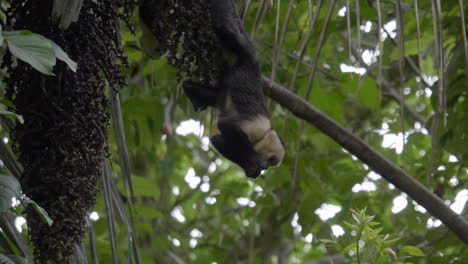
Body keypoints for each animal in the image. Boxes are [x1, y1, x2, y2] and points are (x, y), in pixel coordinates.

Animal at [183, 0, 286, 179]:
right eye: (271, 160)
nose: (266, 168)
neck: (266, 132)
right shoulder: (257, 126)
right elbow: (226, 126)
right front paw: (252, 161)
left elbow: (217, 140)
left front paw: (250, 168)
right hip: (246, 50)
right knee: (229, 29)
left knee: (214, 95)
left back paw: (193, 93)